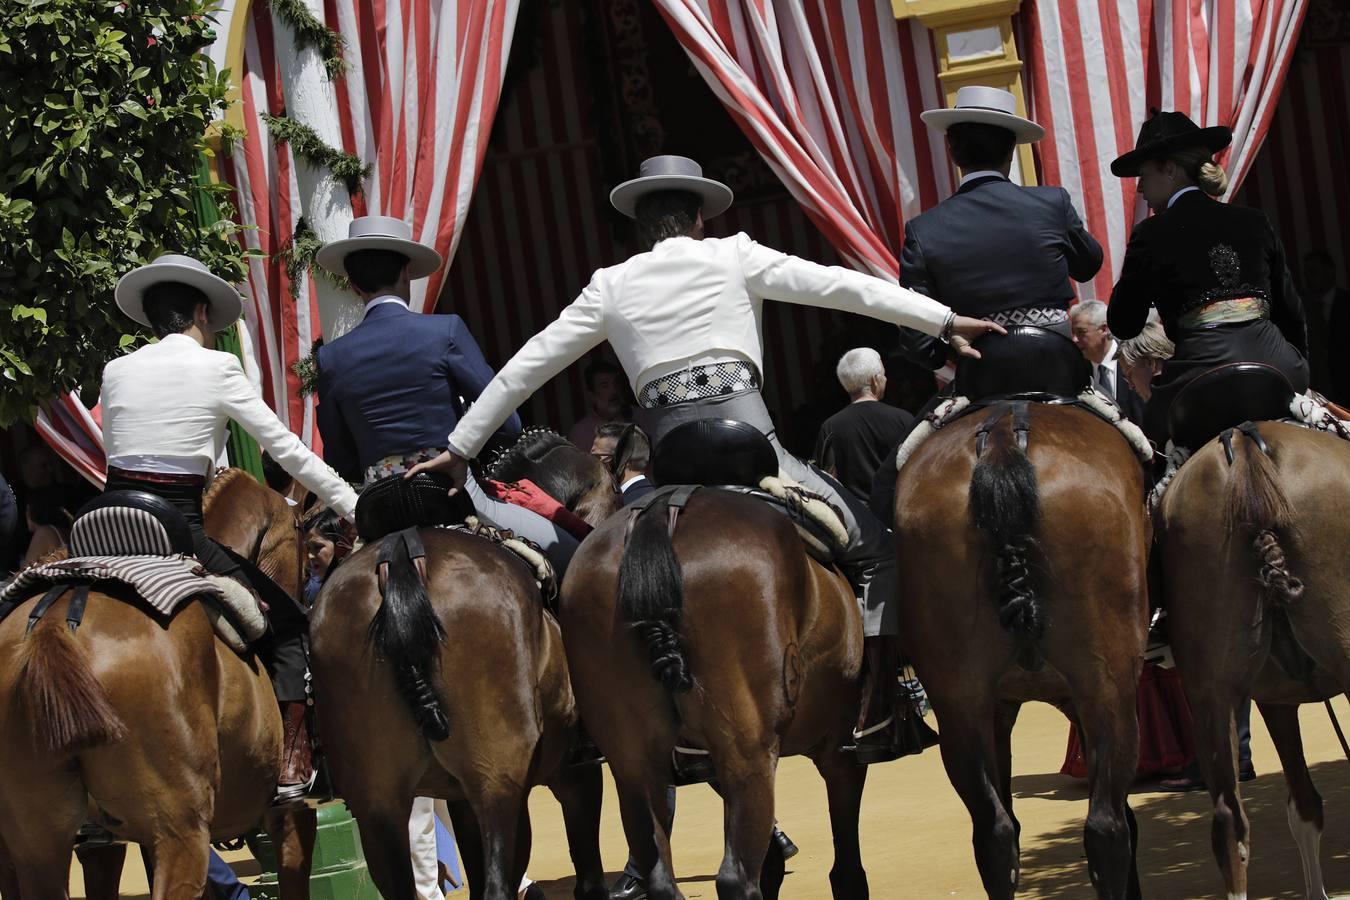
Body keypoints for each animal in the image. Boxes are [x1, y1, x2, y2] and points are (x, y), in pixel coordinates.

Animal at [0, 472, 313, 900]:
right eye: (299, 532)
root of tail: (54, 627)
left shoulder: (103, 843)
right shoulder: (281, 813)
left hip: (37, 839)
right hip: (179, 824)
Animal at [309, 439, 618, 900]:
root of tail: (401, 554)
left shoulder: (457, 796)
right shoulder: (574, 774)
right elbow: (587, 872)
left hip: (377, 801)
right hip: (496, 781)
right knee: (497, 884)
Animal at [558, 488, 864, 895]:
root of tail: (660, 510)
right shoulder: (839, 751)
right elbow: (845, 869)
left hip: (633, 760)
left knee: (661, 876)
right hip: (747, 752)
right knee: (736, 876)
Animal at [896, 402, 1150, 900]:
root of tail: (1002, 440)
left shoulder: (997, 706)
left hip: (960, 704)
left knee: (994, 833)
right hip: (1107, 691)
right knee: (1107, 828)